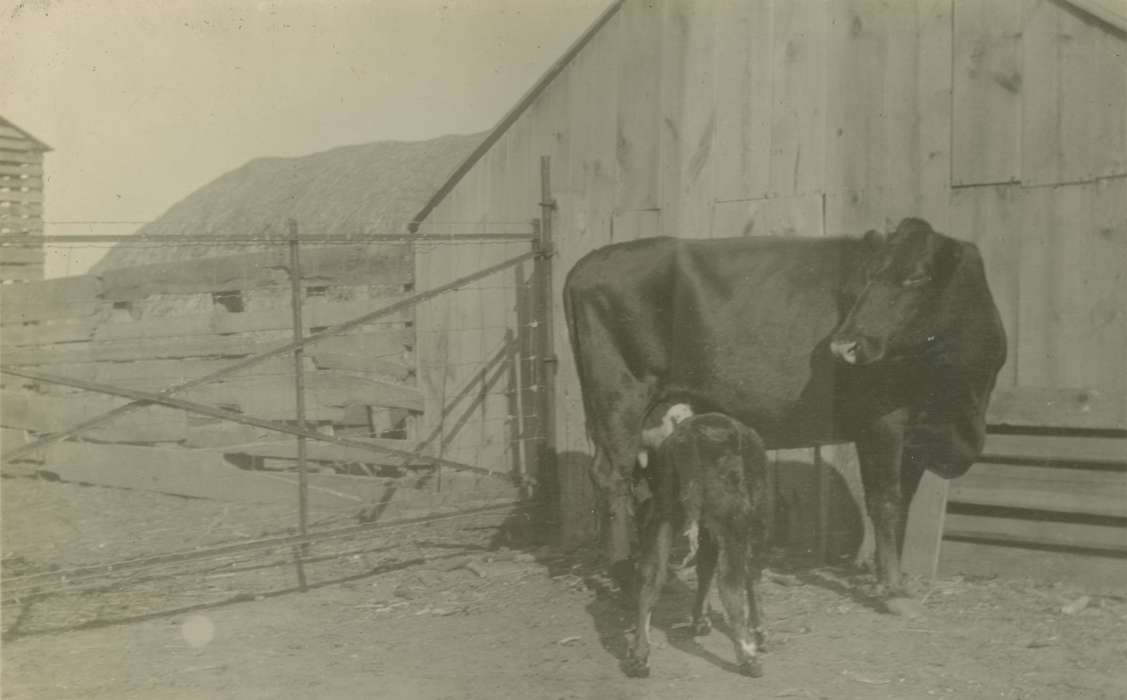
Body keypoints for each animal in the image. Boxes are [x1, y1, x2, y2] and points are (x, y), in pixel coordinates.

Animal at [563, 217, 1005, 613]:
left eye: (916, 278)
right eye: (871, 275)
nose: (845, 345)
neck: (961, 402)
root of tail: (587, 264)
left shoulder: (916, 434)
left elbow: (905, 503)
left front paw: (888, 576)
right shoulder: (883, 423)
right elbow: (885, 501)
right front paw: (894, 592)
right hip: (619, 396)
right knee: (612, 476)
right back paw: (623, 574)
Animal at [631, 403, 770, 676]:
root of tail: (689, 436)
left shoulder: (706, 528)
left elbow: (705, 566)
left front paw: (699, 620)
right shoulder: (754, 520)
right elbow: (752, 575)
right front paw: (759, 633)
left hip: (663, 514)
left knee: (650, 577)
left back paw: (640, 657)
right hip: (734, 519)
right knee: (730, 580)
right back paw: (748, 658)